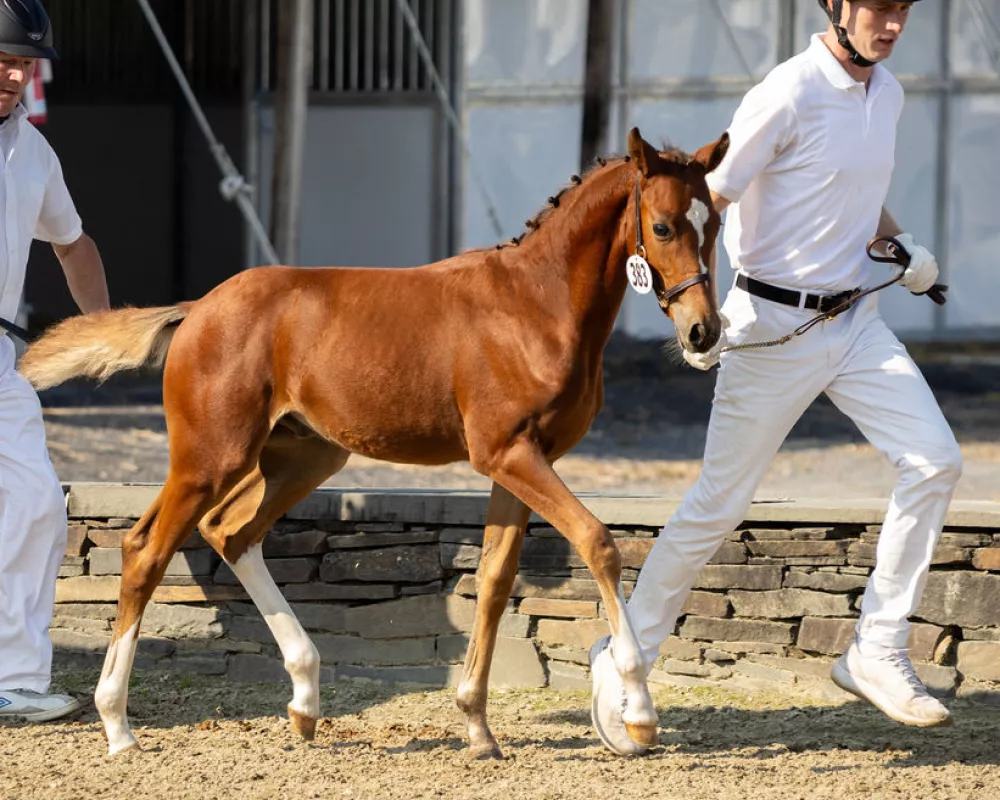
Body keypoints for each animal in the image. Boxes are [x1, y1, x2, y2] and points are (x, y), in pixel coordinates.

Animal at [21, 128, 728, 760]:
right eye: (663, 227)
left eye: (715, 222)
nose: (703, 332)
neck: (537, 304)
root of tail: (197, 309)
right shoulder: (508, 453)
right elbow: (598, 543)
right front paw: (638, 712)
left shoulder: (520, 459)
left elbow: (495, 578)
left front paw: (478, 727)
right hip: (209, 457)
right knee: (146, 550)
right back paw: (118, 726)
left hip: (303, 455)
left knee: (231, 531)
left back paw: (305, 702)